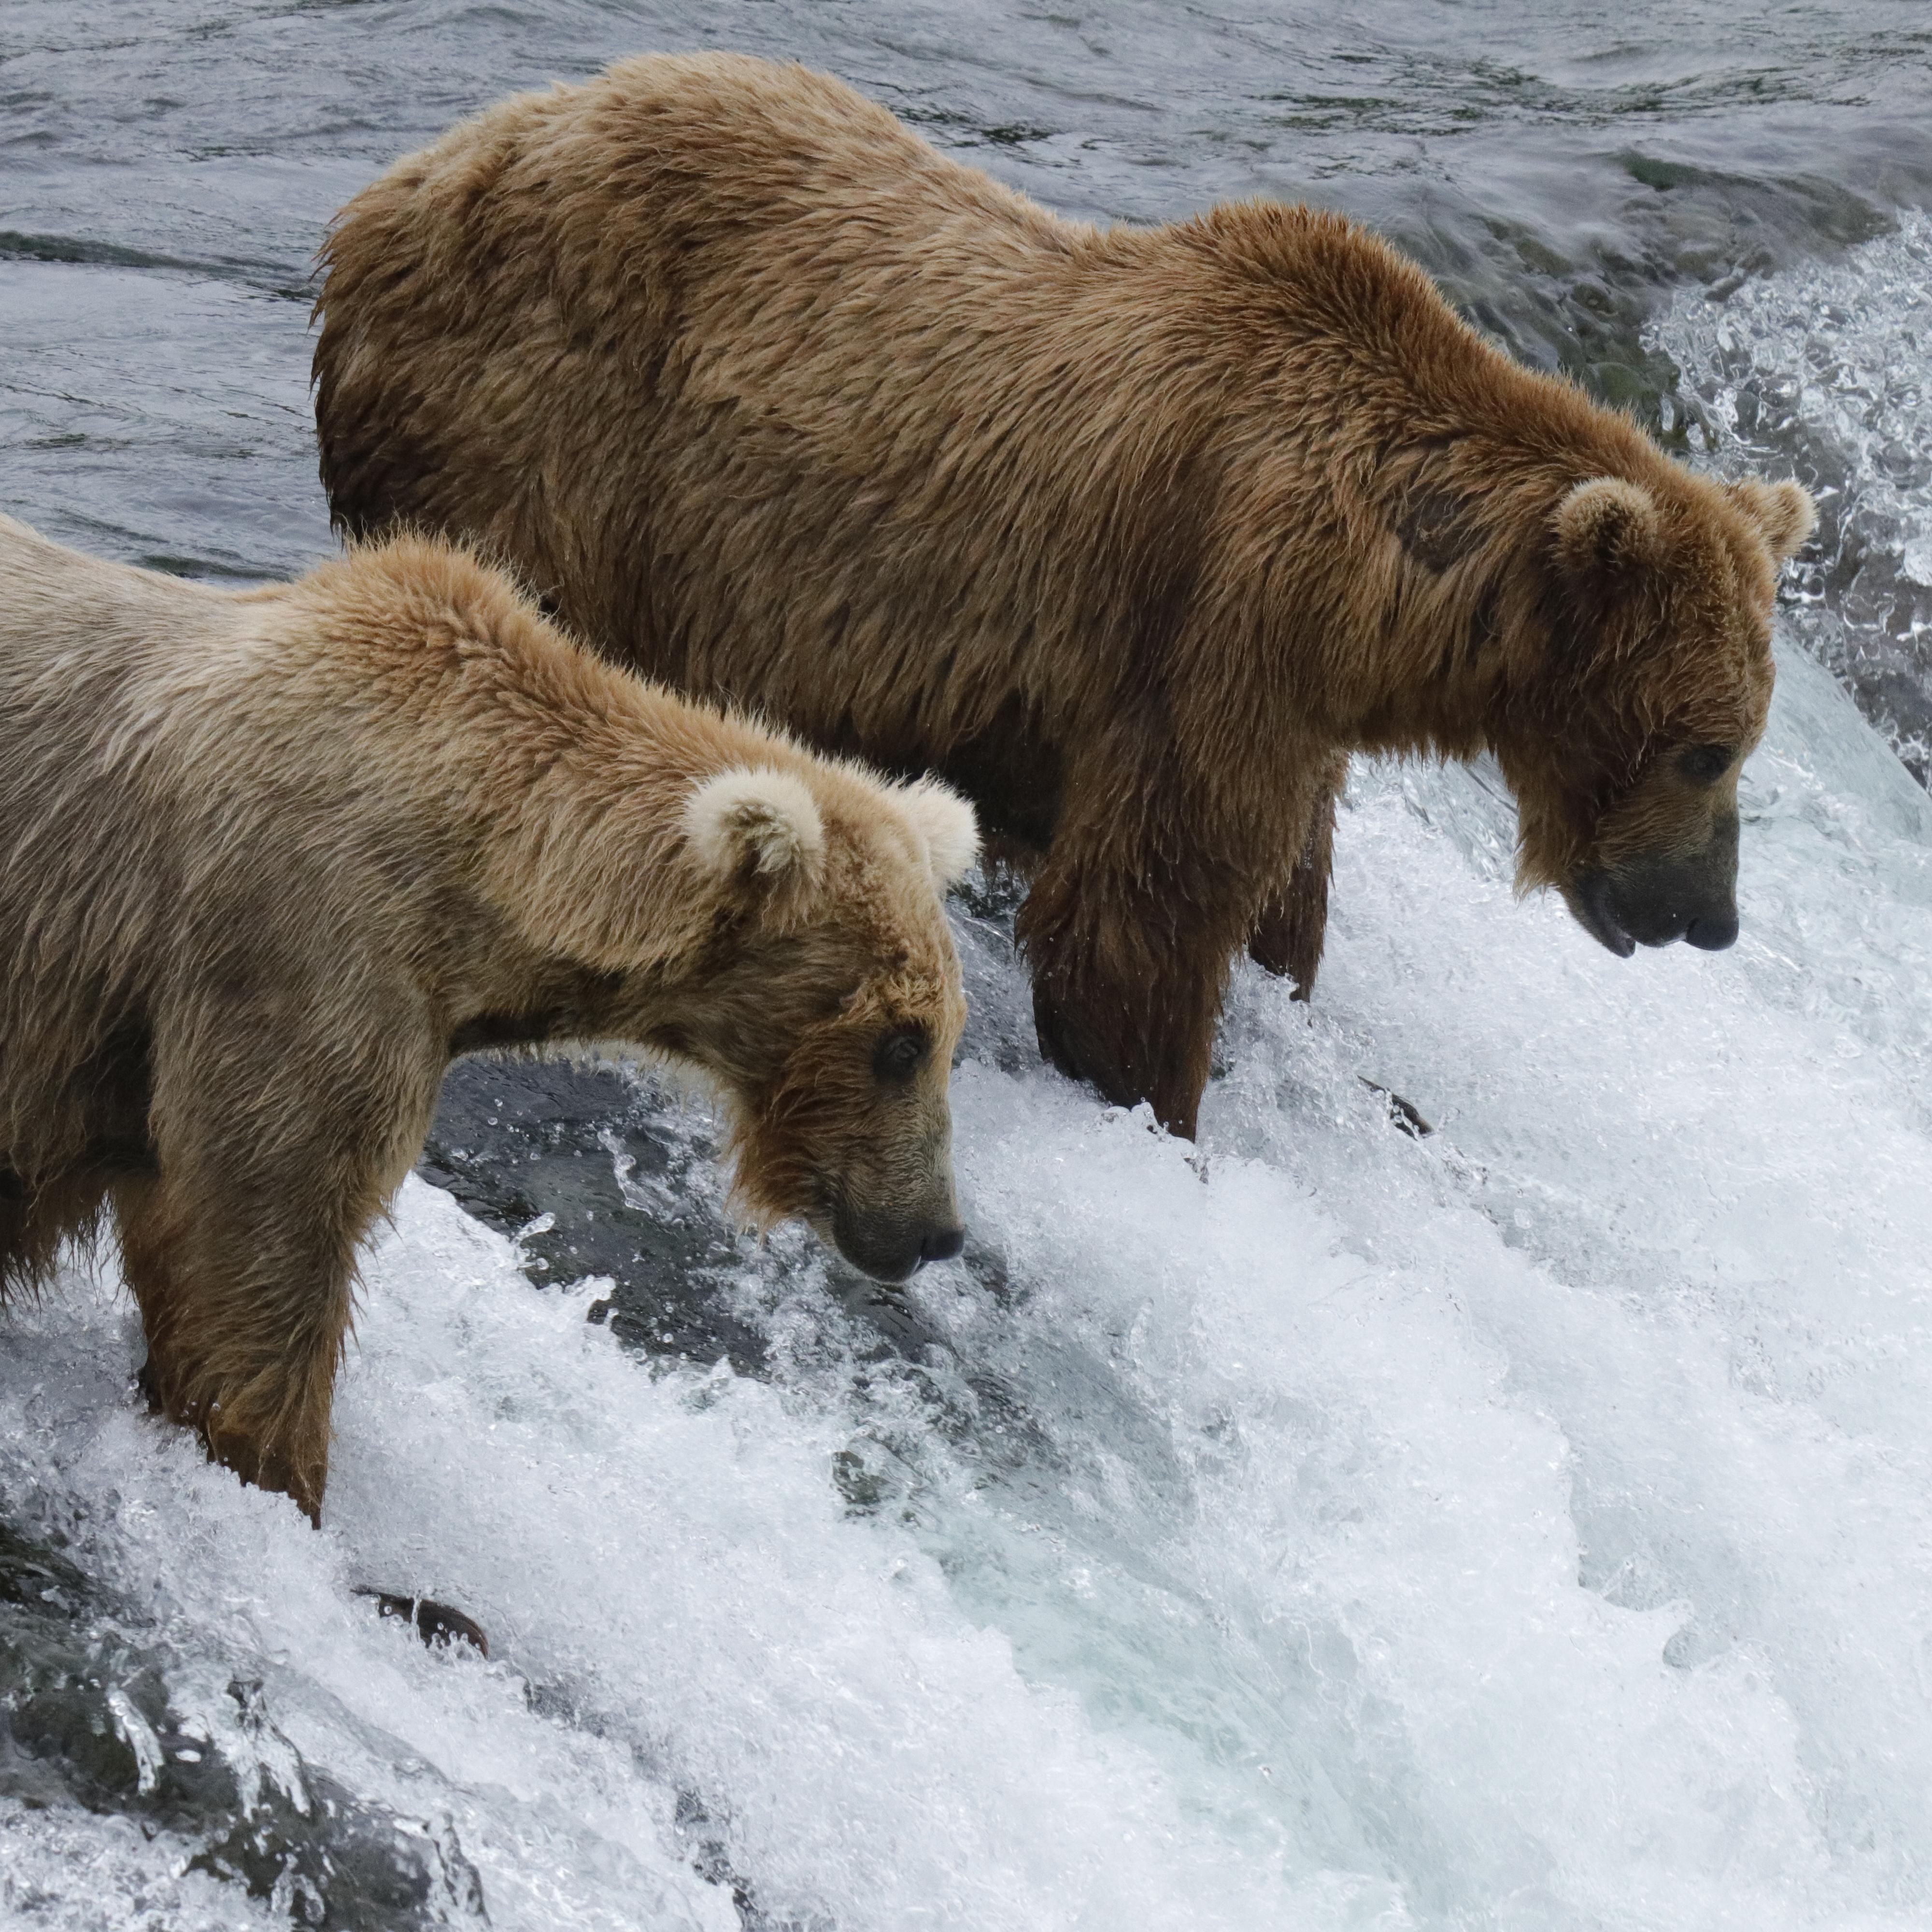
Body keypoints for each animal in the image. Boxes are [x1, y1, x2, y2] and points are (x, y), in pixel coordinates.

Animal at [0, 512, 978, 1535]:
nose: (935, 1230)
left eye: (948, 1034)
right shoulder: (292, 959)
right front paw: (276, 1480)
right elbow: (252, 1249)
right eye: (899, 1042)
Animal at [311, 50, 1816, 1139]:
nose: (1712, 915)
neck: (1378, 599)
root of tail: (395, 190)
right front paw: (1163, 1101)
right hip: (547, 441)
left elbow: (1281, 880)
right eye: (1706, 745)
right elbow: (1141, 914)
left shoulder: (1288, 698)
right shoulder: (1212, 616)